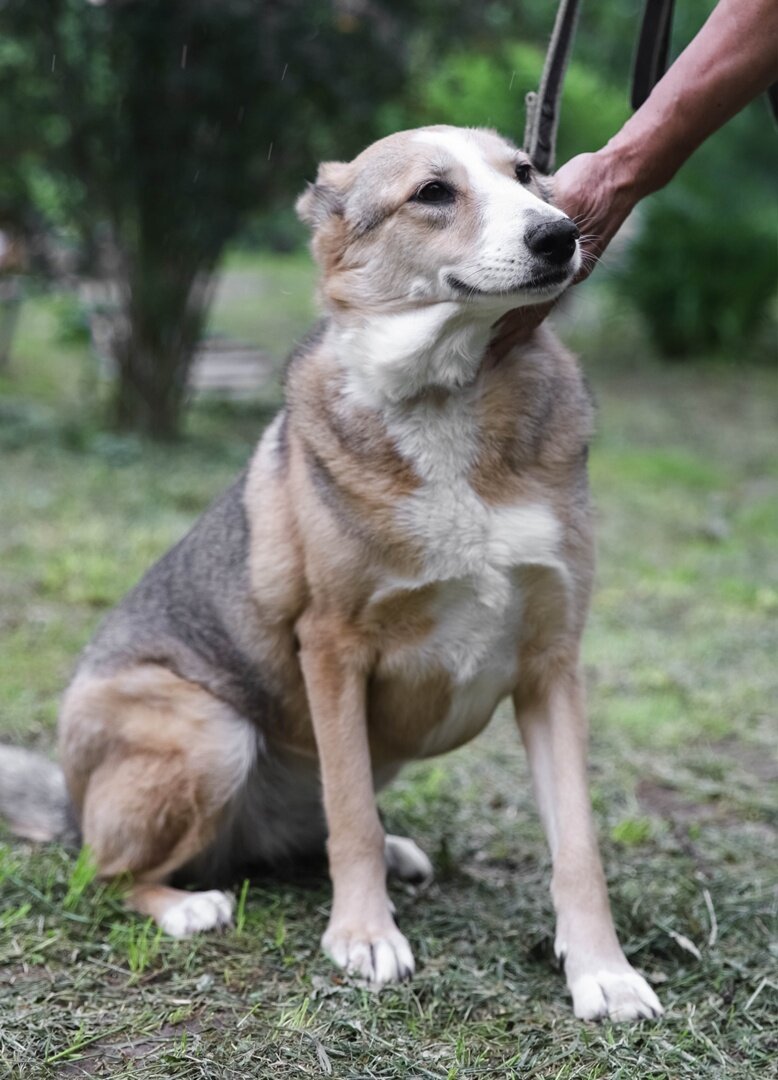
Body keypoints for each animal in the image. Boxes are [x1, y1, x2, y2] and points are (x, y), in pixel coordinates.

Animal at [1, 126, 661, 1019]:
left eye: (527, 173)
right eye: (432, 193)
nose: (559, 235)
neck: (445, 399)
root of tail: (72, 805)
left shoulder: (552, 664)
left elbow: (579, 847)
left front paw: (602, 972)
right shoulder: (333, 649)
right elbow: (349, 814)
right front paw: (363, 936)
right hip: (212, 733)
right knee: (103, 872)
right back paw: (184, 906)